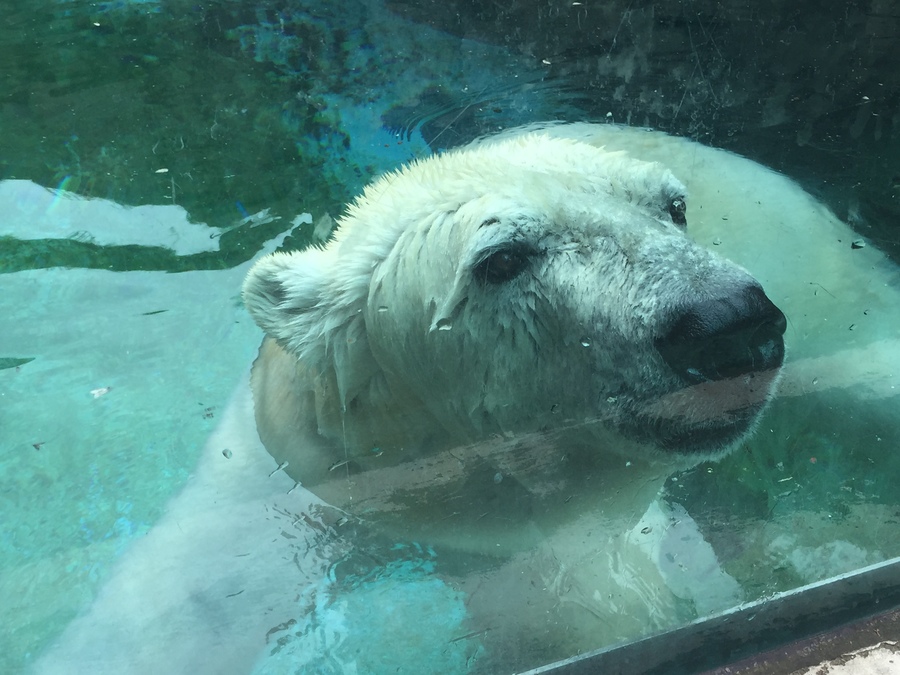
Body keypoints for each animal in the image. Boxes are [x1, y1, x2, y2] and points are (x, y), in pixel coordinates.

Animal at [33, 124, 900, 675]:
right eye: (502, 258)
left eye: (674, 207)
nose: (726, 321)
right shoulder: (301, 475)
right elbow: (191, 603)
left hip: (821, 275)